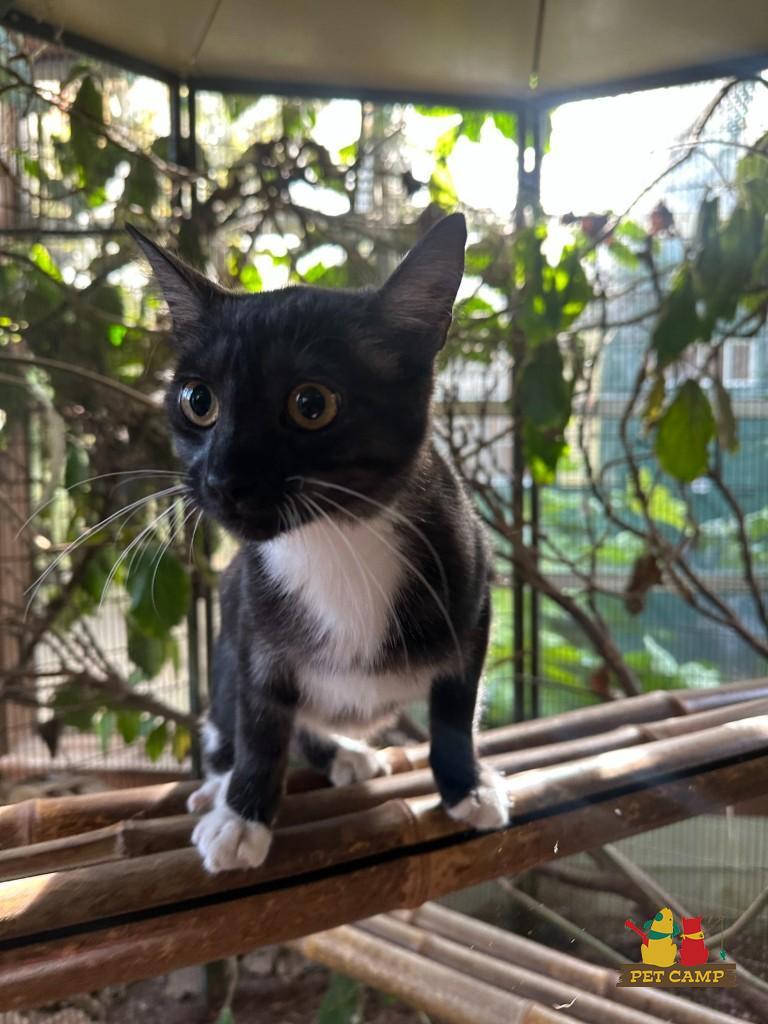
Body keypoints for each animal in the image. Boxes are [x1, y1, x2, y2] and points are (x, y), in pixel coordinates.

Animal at [128, 213, 509, 874]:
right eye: (198, 401)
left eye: (312, 404)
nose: (224, 479)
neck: (333, 539)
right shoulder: (251, 622)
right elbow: (259, 721)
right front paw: (242, 815)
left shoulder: (474, 591)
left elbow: (455, 708)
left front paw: (466, 784)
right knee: (230, 719)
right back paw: (222, 783)